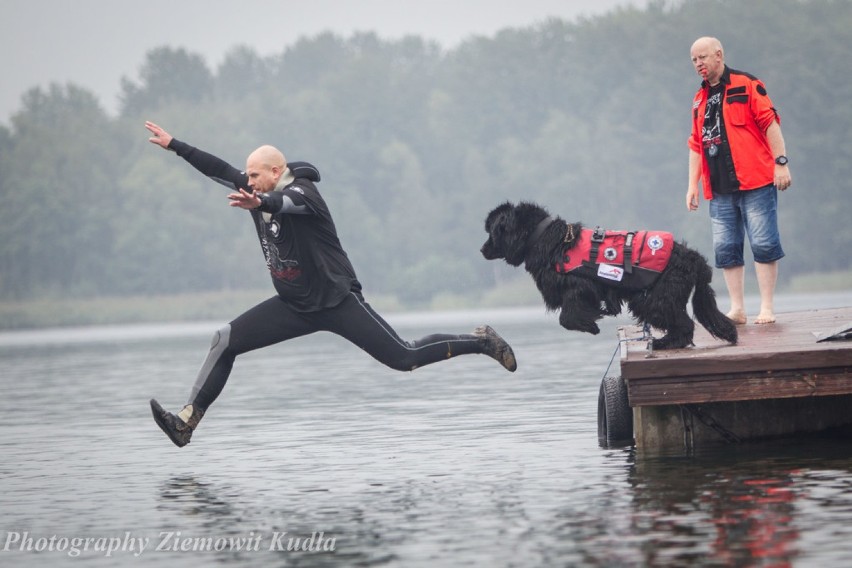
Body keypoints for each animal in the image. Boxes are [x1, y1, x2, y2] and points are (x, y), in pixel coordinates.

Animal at [480, 202, 740, 348]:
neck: (547, 238)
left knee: (684, 324)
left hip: (657, 299)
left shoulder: (578, 287)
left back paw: (664, 343)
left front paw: (590, 324)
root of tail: (693, 259)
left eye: (493, 232)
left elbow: (567, 317)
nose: (482, 250)